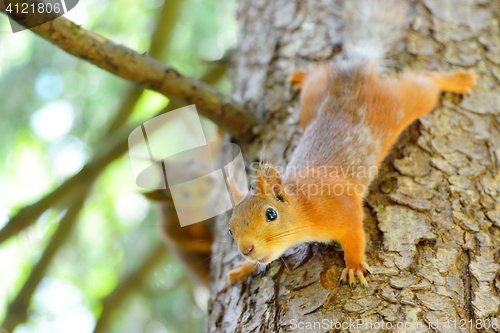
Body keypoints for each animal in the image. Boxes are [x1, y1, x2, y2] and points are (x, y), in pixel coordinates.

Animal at [227, 0, 476, 286]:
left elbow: (355, 235)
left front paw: (354, 265)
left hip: (397, 105)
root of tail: (355, 72)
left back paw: (457, 80)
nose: (247, 249)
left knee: (426, 84)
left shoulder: (343, 207)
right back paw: (303, 75)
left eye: (271, 214)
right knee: (319, 74)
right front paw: (242, 268)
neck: (303, 206)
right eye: (230, 229)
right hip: (311, 102)